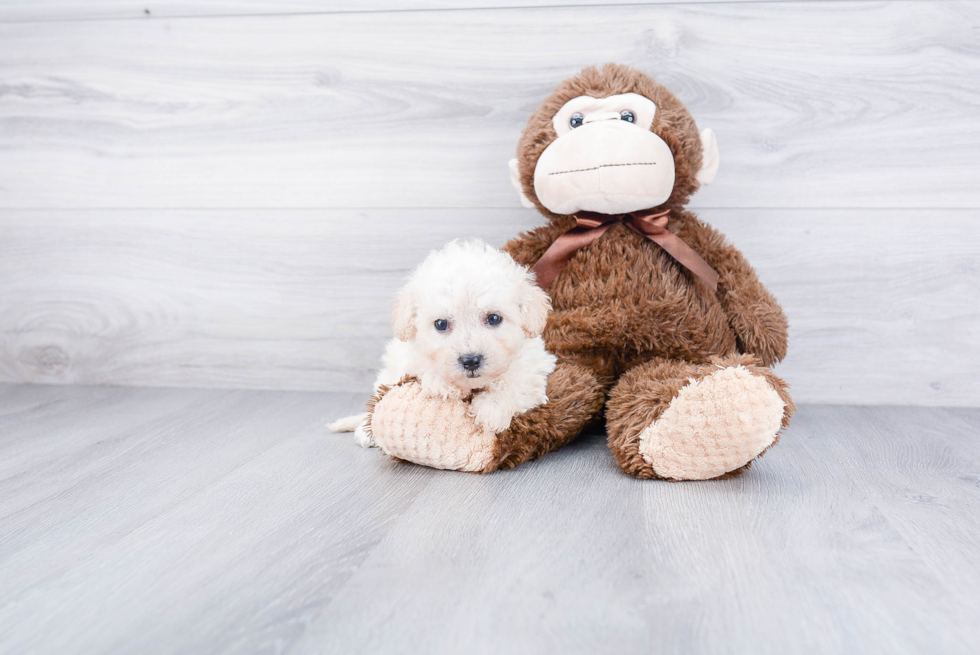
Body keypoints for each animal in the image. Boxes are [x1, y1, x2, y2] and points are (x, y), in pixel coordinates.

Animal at [332, 238, 556, 448]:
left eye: (494, 318)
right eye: (441, 324)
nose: (471, 361)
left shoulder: (533, 367)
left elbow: (514, 381)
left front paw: (491, 409)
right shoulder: (407, 358)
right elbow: (422, 367)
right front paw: (443, 384)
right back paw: (363, 431)